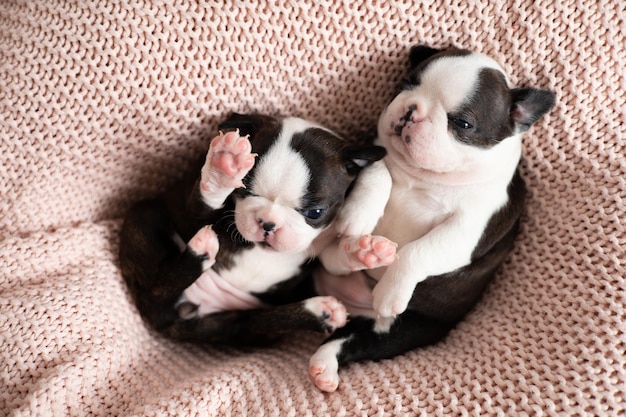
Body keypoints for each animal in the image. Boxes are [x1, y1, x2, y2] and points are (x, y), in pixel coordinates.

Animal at [118, 113, 386, 344]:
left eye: (315, 213)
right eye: (244, 191)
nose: (268, 223)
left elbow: (337, 259)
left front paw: (365, 251)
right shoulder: (190, 215)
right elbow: (201, 204)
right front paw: (221, 170)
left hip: (243, 329)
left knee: (251, 324)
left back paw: (319, 311)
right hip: (143, 220)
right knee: (155, 290)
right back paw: (200, 253)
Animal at [310, 45, 552, 390]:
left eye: (463, 123)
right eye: (405, 84)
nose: (412, 110)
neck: (424, 175)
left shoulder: (465, 230)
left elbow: (417, 252)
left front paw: (391, 290)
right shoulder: (373, 150)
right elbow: (379, 173)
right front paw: (358, 215)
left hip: (404, 329)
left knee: (355, 340)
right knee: (335, 264)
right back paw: (361, 252)